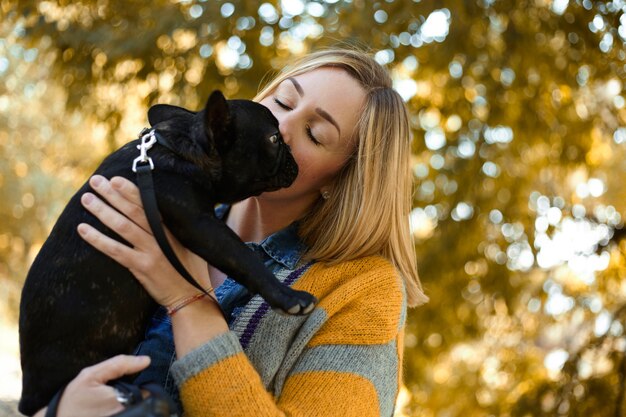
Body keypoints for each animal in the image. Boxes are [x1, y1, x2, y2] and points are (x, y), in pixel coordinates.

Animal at [18, 90, 316, 412]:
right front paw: (289, 298)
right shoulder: (201, 225)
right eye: (274, 138)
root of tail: (29, 392)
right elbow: (245, 259)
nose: (292, 151)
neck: (182, 151)